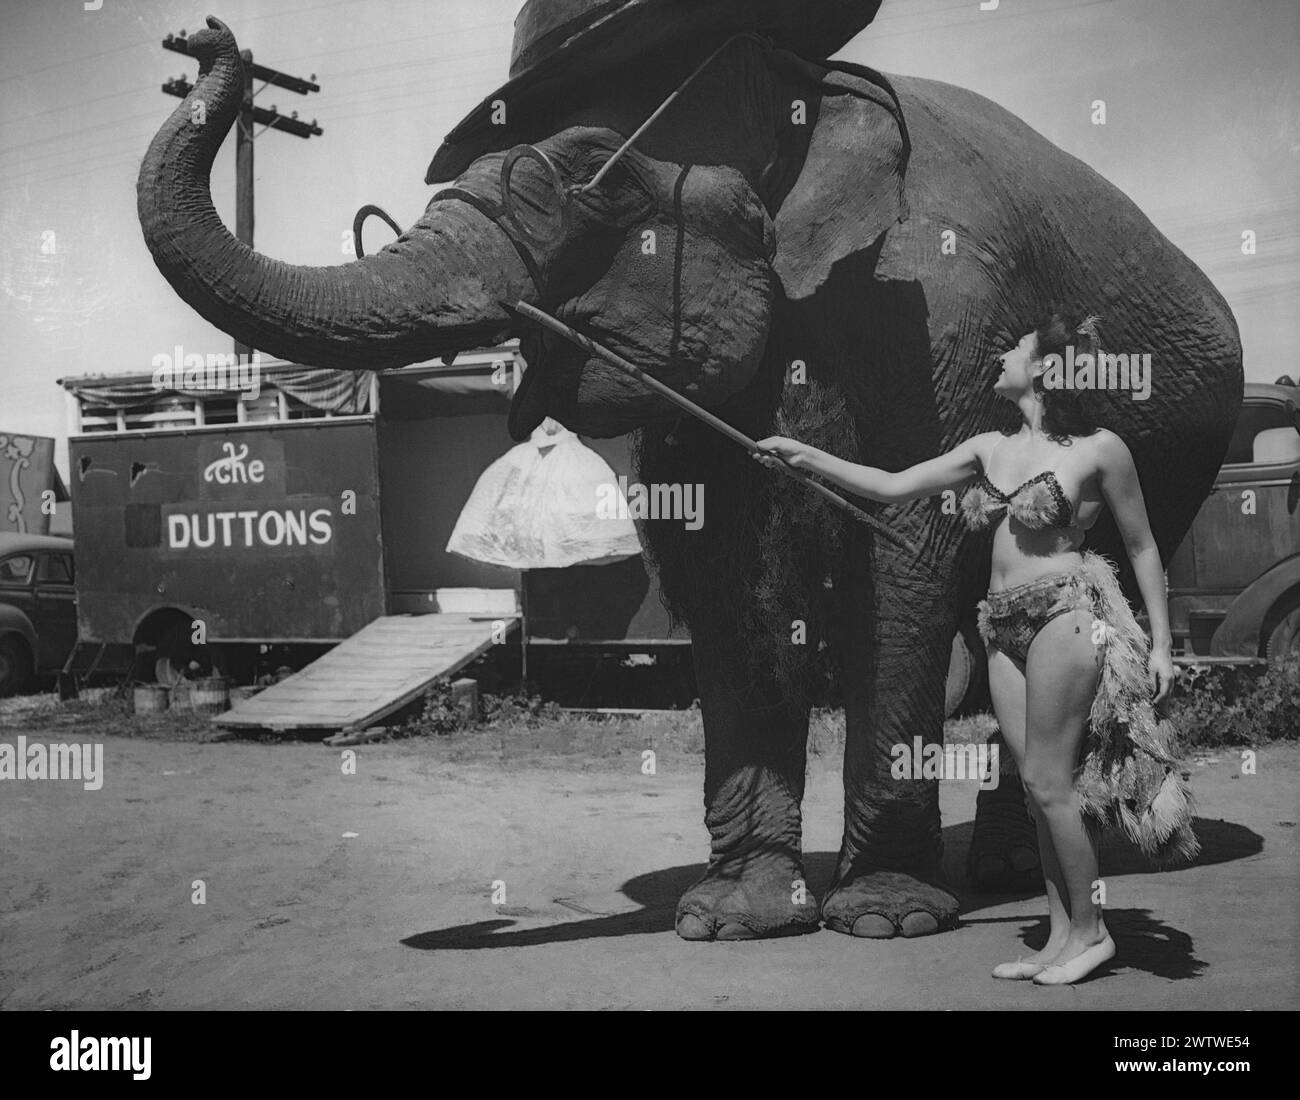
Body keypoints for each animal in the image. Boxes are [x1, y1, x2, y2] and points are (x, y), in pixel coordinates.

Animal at [137, 4, 1242, 941]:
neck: (795, 100)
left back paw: (1013, 869)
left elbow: (908, 553)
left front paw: (884, 918)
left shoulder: (941, 296)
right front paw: (733, 917)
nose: (207, 33)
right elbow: (725, 573)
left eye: (597, 172)